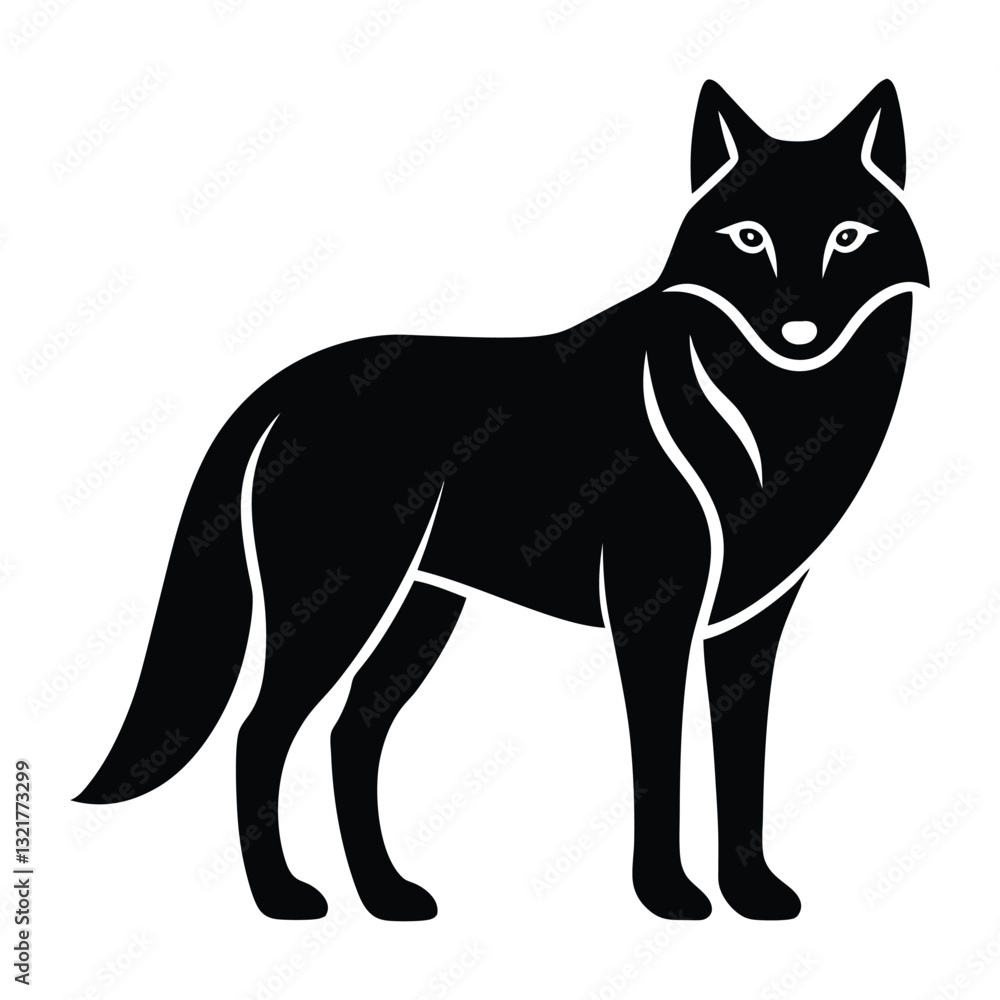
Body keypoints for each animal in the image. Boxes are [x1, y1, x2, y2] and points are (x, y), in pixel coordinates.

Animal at [75, 80, 928, 922]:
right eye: (749, 237)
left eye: (848, 236)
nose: (799, 329)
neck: (772, 423)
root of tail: (289, 381)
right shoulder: (652, 614)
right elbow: (661, 760)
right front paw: (667, 895)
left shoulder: (752, 625)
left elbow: (742, 769)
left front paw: (752, 894)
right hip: (341, 604)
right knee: (260, 732)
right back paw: (283, 898)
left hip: (421, 612)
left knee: (351, 734)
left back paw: (387, 896)